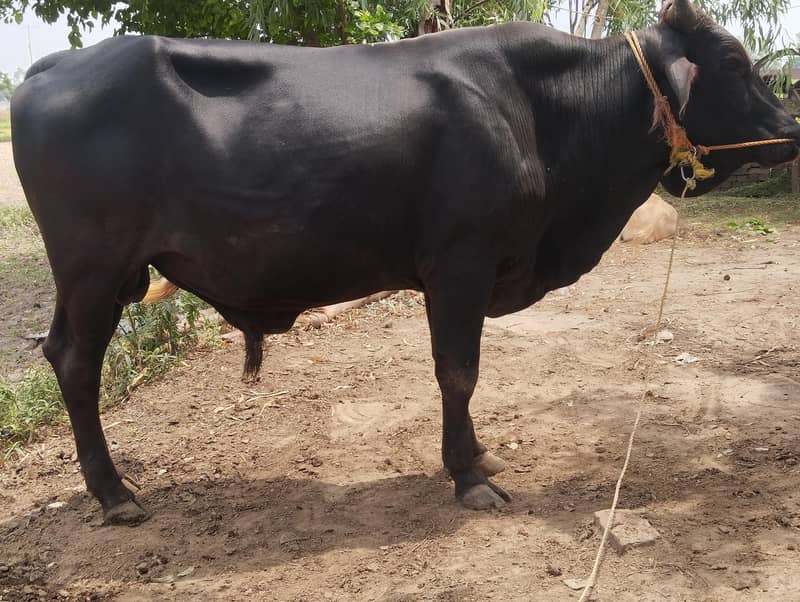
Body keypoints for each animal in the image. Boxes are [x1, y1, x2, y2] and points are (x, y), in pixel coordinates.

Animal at [10, 0, 800, 525]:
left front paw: (479, 456)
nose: (792, 130)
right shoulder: (459, 263)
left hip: (92, 278)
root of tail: (55, 67)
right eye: (735, 63)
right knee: (78, 365)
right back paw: (115, 495)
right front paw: (467, 477)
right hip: (94, 270)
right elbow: (459, 371)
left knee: (58, 353)